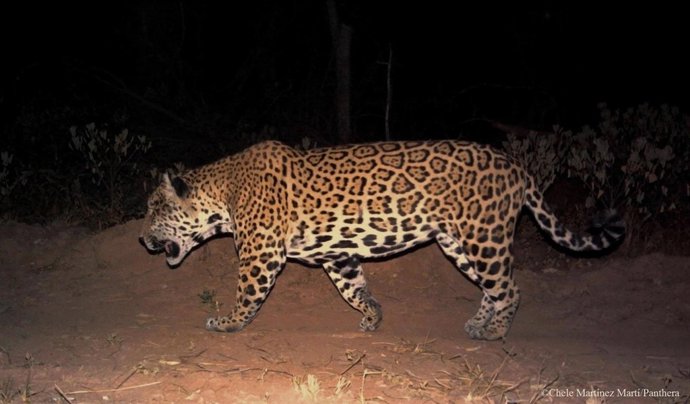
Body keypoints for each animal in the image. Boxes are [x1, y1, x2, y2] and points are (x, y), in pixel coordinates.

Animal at [140, 140, 624, 340]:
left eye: (154, 209)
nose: (143, 239)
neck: (223, 192)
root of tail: (517, 166)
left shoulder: (261, 254)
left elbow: (247, 293)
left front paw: (228, 323)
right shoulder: (337, 254)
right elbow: (355, 289)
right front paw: (373, 318)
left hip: (484, 238)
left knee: (511, 289)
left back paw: (496, 333)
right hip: (460, 243)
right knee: (493, 288)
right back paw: (477, 324)